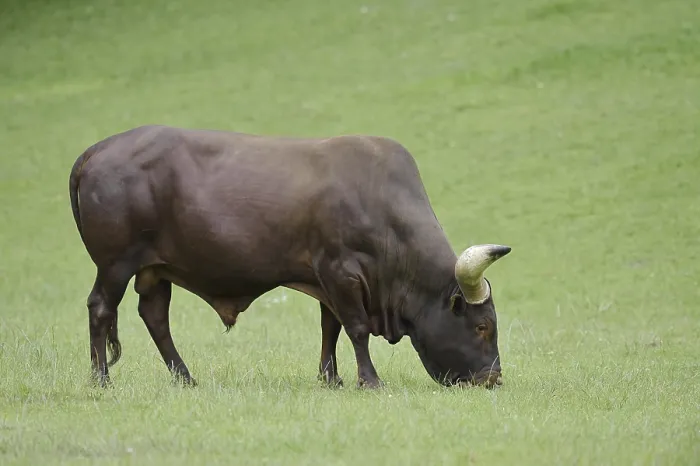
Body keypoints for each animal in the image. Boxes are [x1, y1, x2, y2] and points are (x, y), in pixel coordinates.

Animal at [68, 125, 511, 389]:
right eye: (482, 327)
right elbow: (355, 328)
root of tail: (97, 149)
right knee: (101, 308)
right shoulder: (341, 271)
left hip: (155, 270)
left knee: (155, 317)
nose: (493, 379)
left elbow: (330, 328)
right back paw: (101, 379)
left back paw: (185, 379)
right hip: (115, 265)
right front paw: (369, 380)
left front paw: (331, 379)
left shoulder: (327, 279)